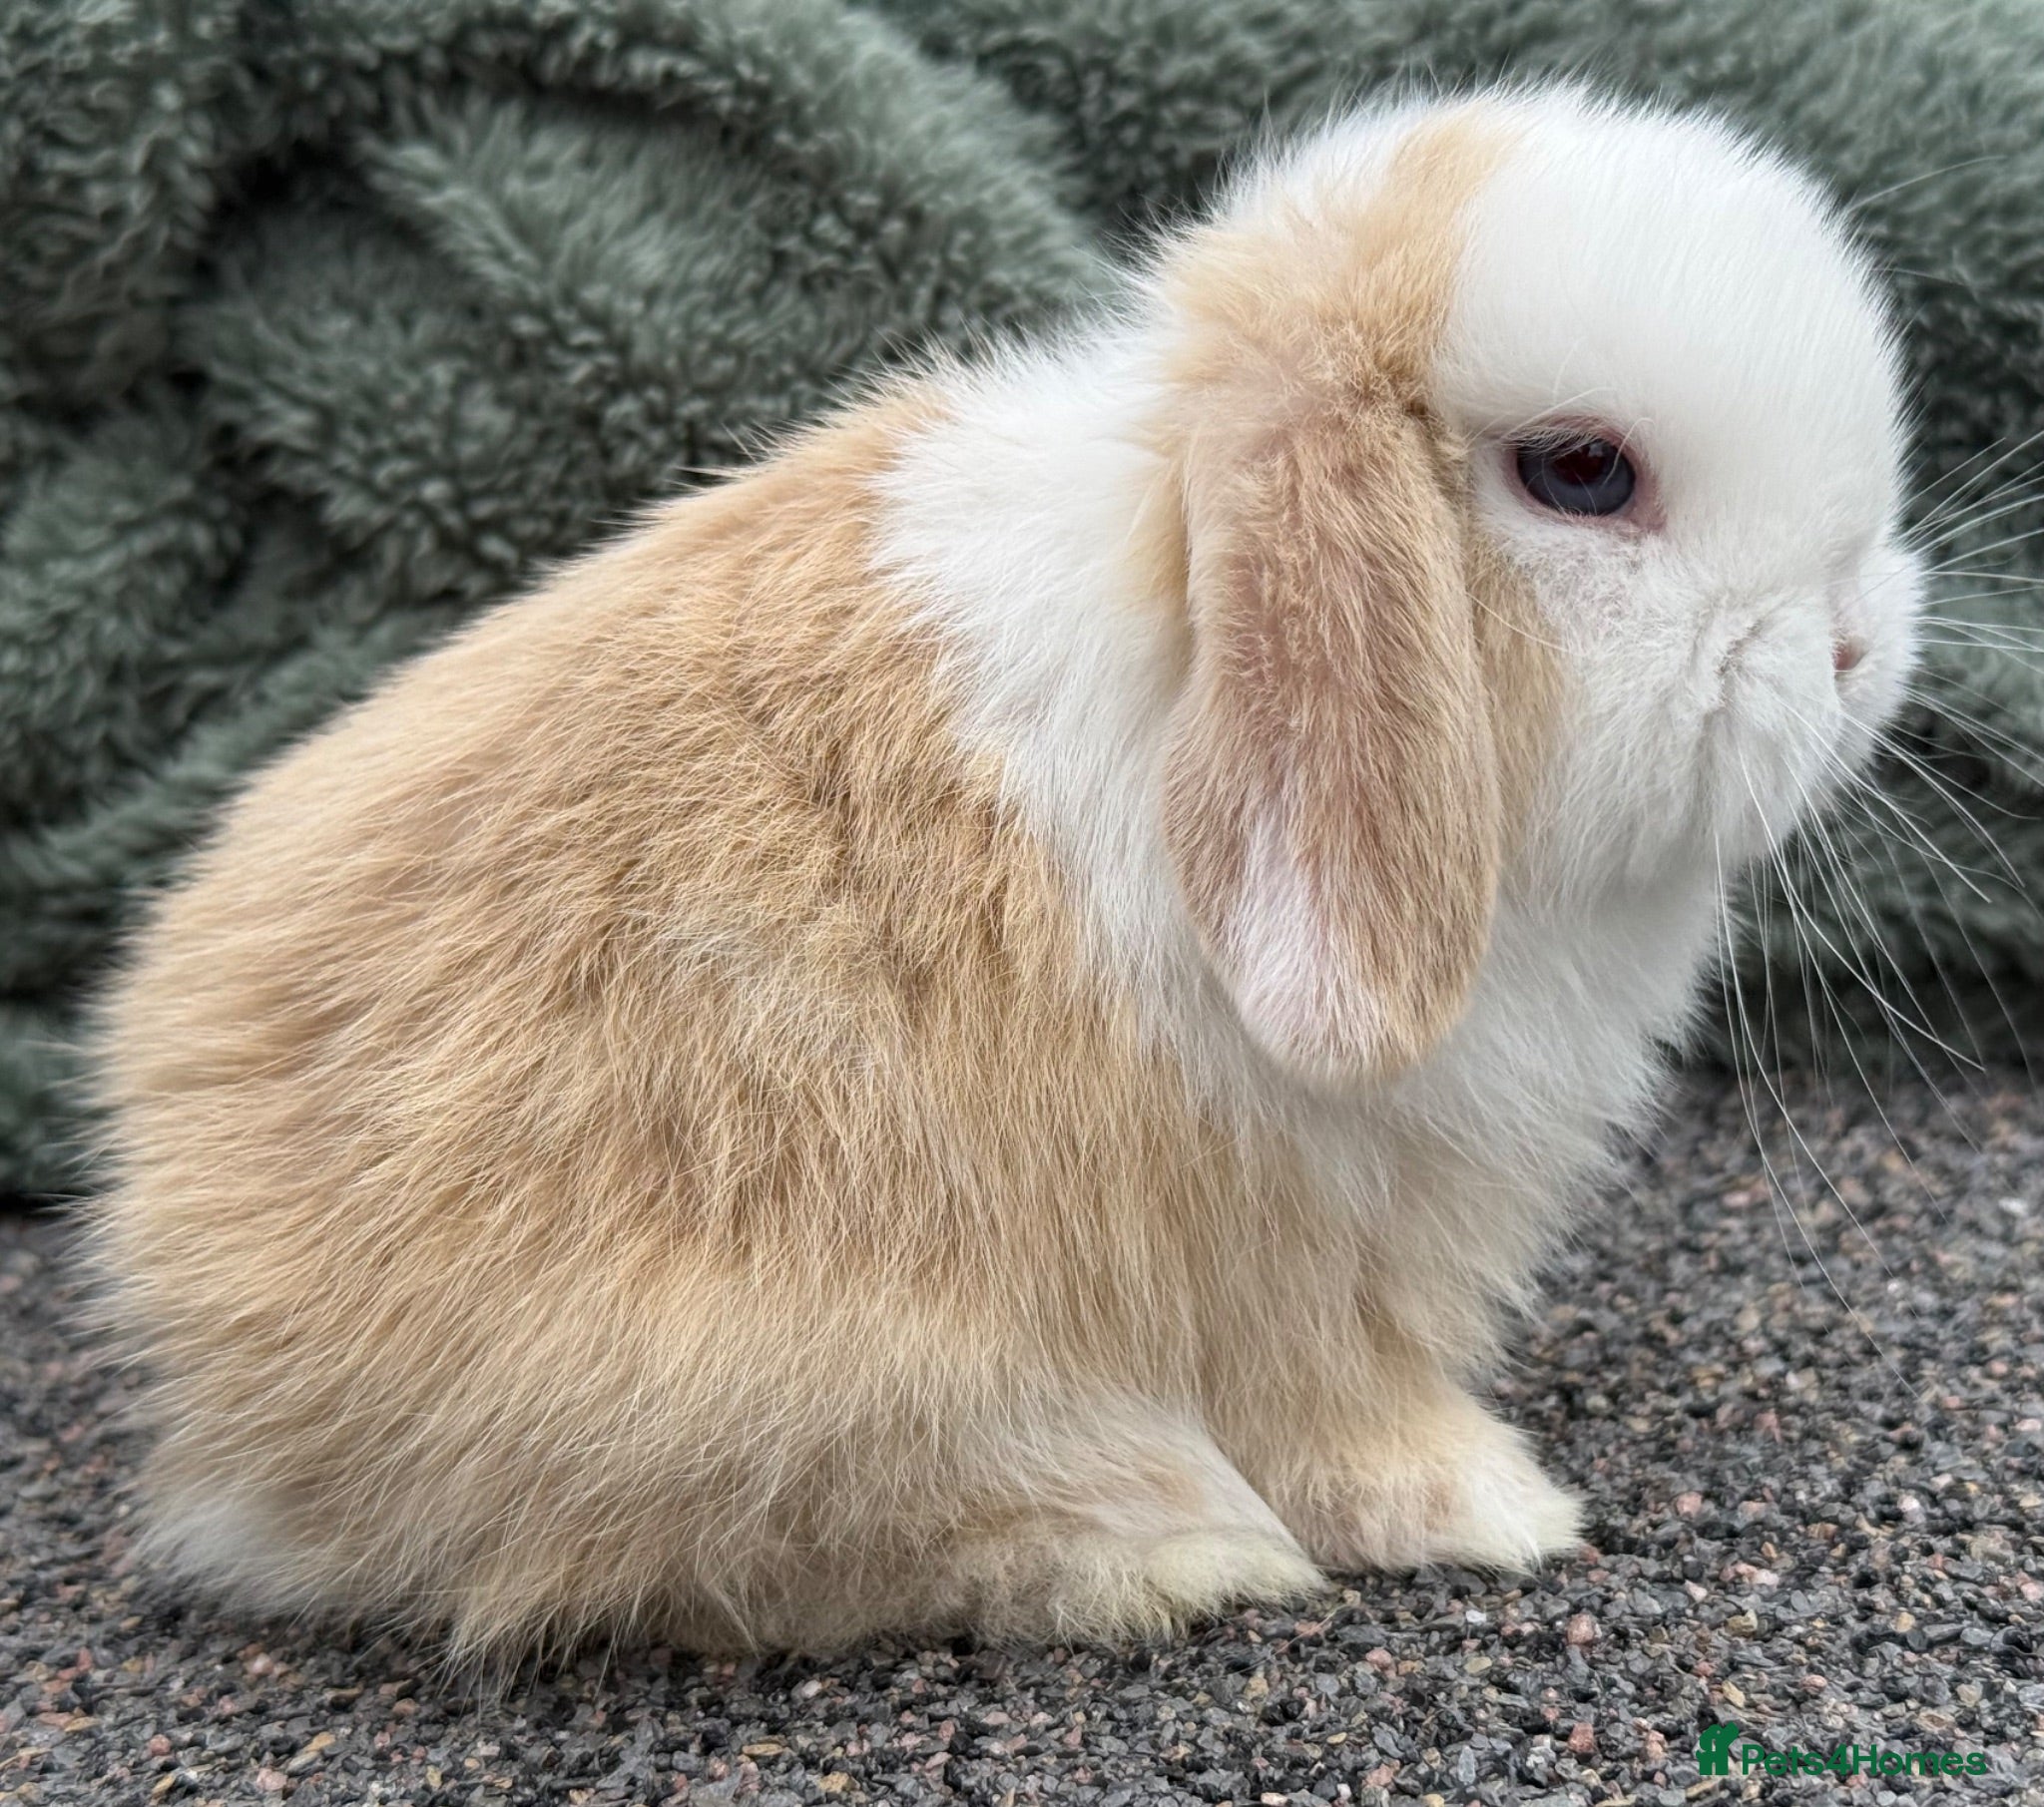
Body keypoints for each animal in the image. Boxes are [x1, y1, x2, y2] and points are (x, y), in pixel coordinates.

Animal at [90, 85, 1921, 1657]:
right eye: (1580, 471)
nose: (1852, 646)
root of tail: (224, 1397)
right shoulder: (1293, 1255)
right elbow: (1340, 1413)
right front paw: (1496, 1508)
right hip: (761, 1366)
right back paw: (1165, 1541)